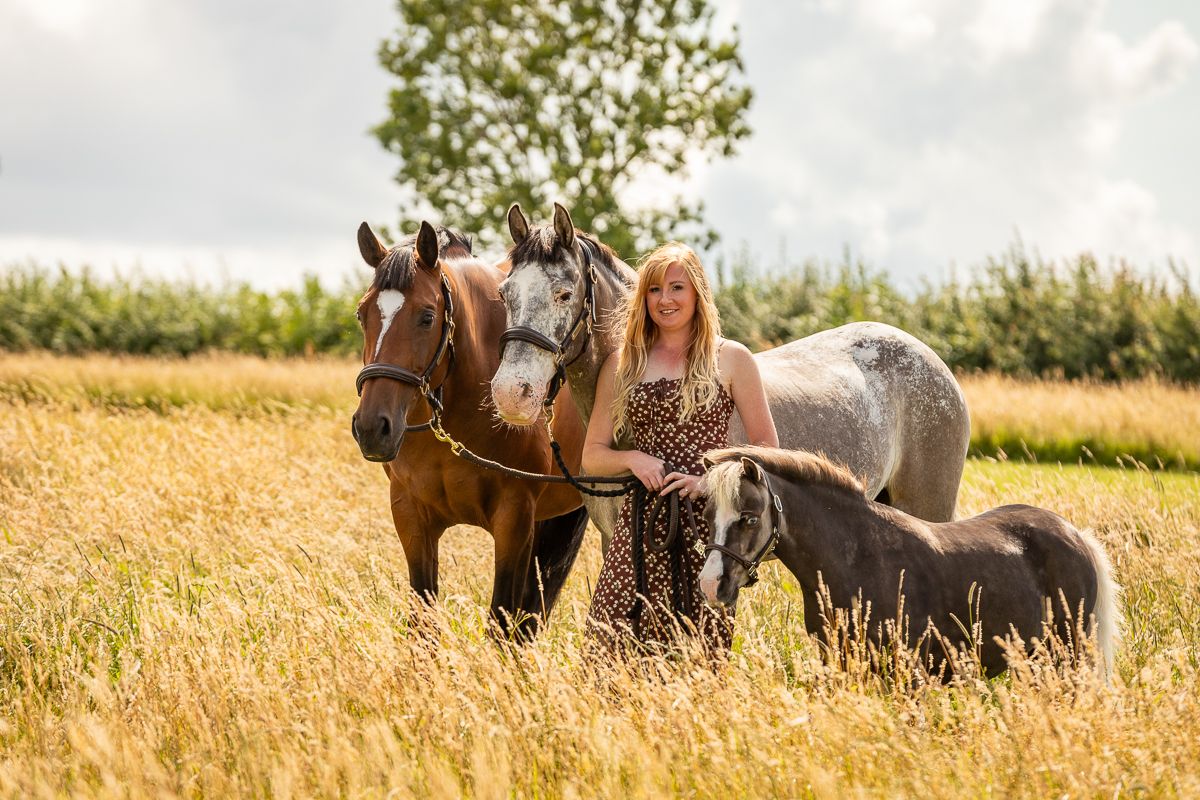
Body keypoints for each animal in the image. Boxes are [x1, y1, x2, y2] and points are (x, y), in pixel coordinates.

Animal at [351, 220, 589, 638]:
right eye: (362, 315)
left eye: (427, 316)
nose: (371, 428)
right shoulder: (410, 515)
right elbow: (423, 622)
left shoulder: (514, 519)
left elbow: (502, 620)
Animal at [699, 446, 1121, 677]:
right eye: (705, 514)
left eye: (749, 517)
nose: (711, 584)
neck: (857, 562)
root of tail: (1075, 535)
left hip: (1067, 658)